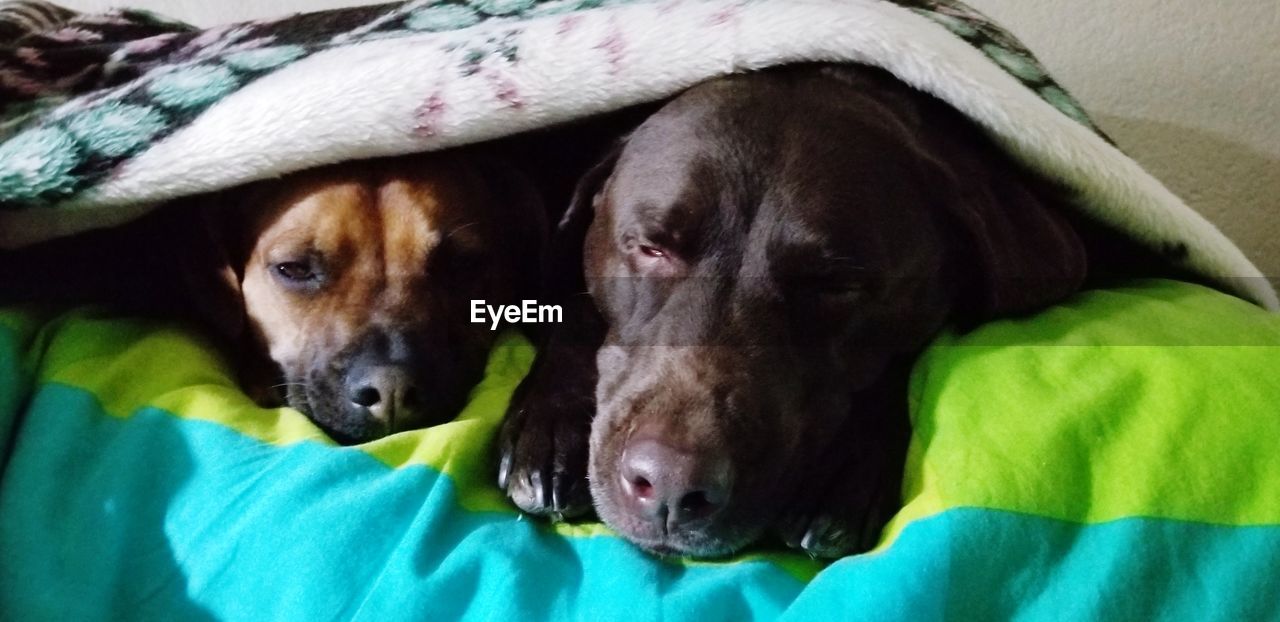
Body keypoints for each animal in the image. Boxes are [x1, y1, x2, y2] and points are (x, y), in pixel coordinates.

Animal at [496, 64, 1090, 558]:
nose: (668, 486)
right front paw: (552, 423)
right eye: (649, 247)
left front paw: (847, 469)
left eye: (835, 284)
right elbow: (573, 309)